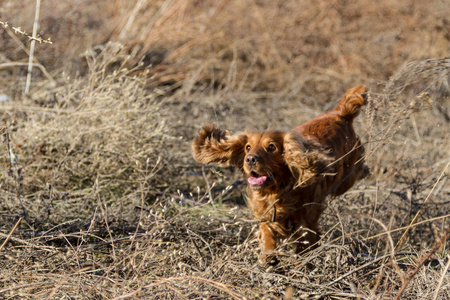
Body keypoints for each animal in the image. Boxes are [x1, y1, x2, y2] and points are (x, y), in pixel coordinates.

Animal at [192, 85, 368, 264]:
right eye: (248, 147)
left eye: (271, 147)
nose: (250, 159)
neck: (276, 190)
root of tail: (339, 113)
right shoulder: (266, 214)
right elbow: (266, 233)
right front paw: (268, 256)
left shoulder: (306, 220)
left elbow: (305, 243)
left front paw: (302, 263)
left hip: (346, 178)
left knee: (357, 170)